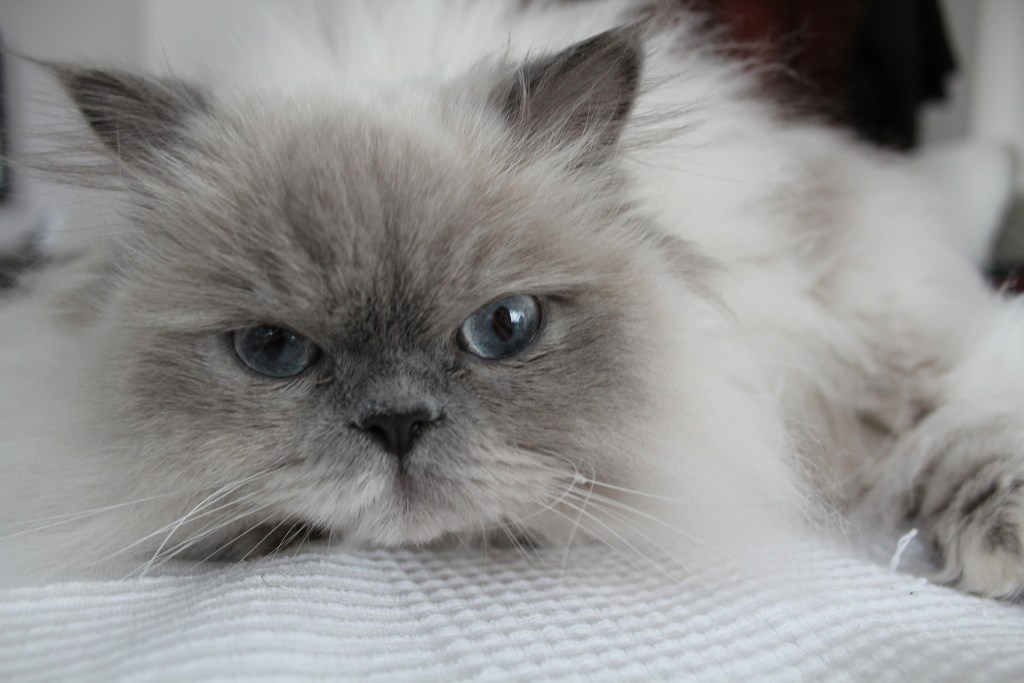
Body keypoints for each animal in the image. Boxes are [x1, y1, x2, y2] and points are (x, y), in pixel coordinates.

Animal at [2, 0, 1024, 598]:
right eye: (273, 351)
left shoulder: (887, 346)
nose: (399, 423)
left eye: (504, 328)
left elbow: (963, 429)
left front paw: (1003, 544)